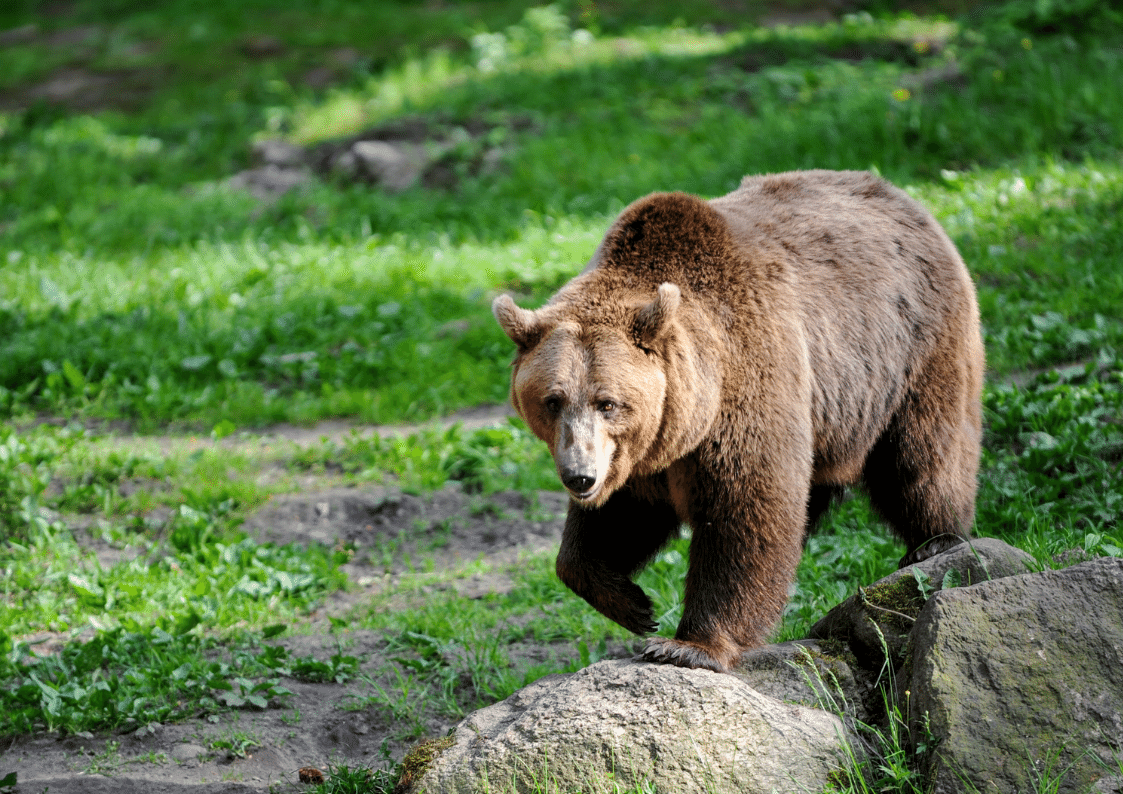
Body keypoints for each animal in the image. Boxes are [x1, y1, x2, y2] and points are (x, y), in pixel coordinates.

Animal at [491, 170, 983, 673]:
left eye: (607, 402)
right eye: (552, 401)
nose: (579, 476)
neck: (690, 413)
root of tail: (902, 197)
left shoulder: (746, 382)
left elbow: (745, 510)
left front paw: (687, 644)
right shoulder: (639, 454)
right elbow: (614, 522)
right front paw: (633, 604)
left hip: (911, 349)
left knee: (921, 455)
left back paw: (936, 540)